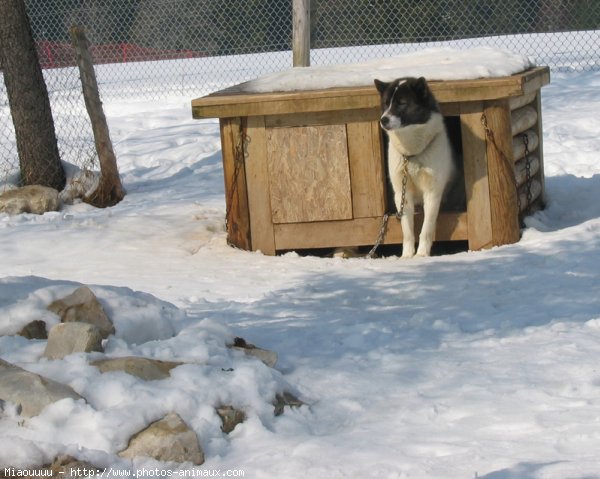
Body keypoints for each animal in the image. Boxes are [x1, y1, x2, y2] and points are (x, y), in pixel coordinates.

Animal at [376, 77, 454, 258]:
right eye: (386, 103)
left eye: (402, 103)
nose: (383, 120)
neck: (412, 154)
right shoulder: (402, 194)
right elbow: (407, 230)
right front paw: (407, 255)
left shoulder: (432, 193)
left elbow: (426, 228)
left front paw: (422, 254)